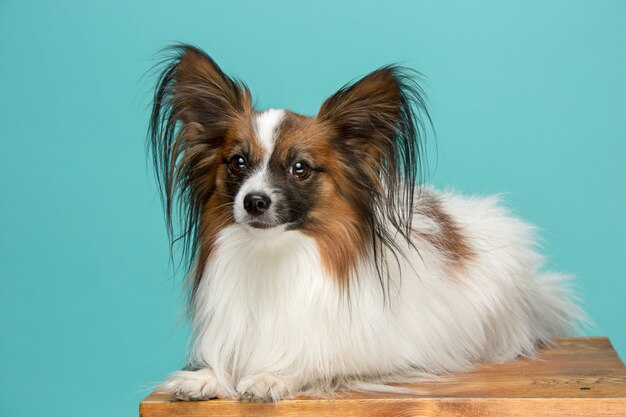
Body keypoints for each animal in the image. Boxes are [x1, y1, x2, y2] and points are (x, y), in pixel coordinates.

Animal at [149, 44, 584, 402]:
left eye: (300, 168)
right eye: (238, 162)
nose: (254, 201)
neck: (276, 256)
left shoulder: (381, 353)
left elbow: (317, 360)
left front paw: (274, 375)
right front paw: (207, 377)